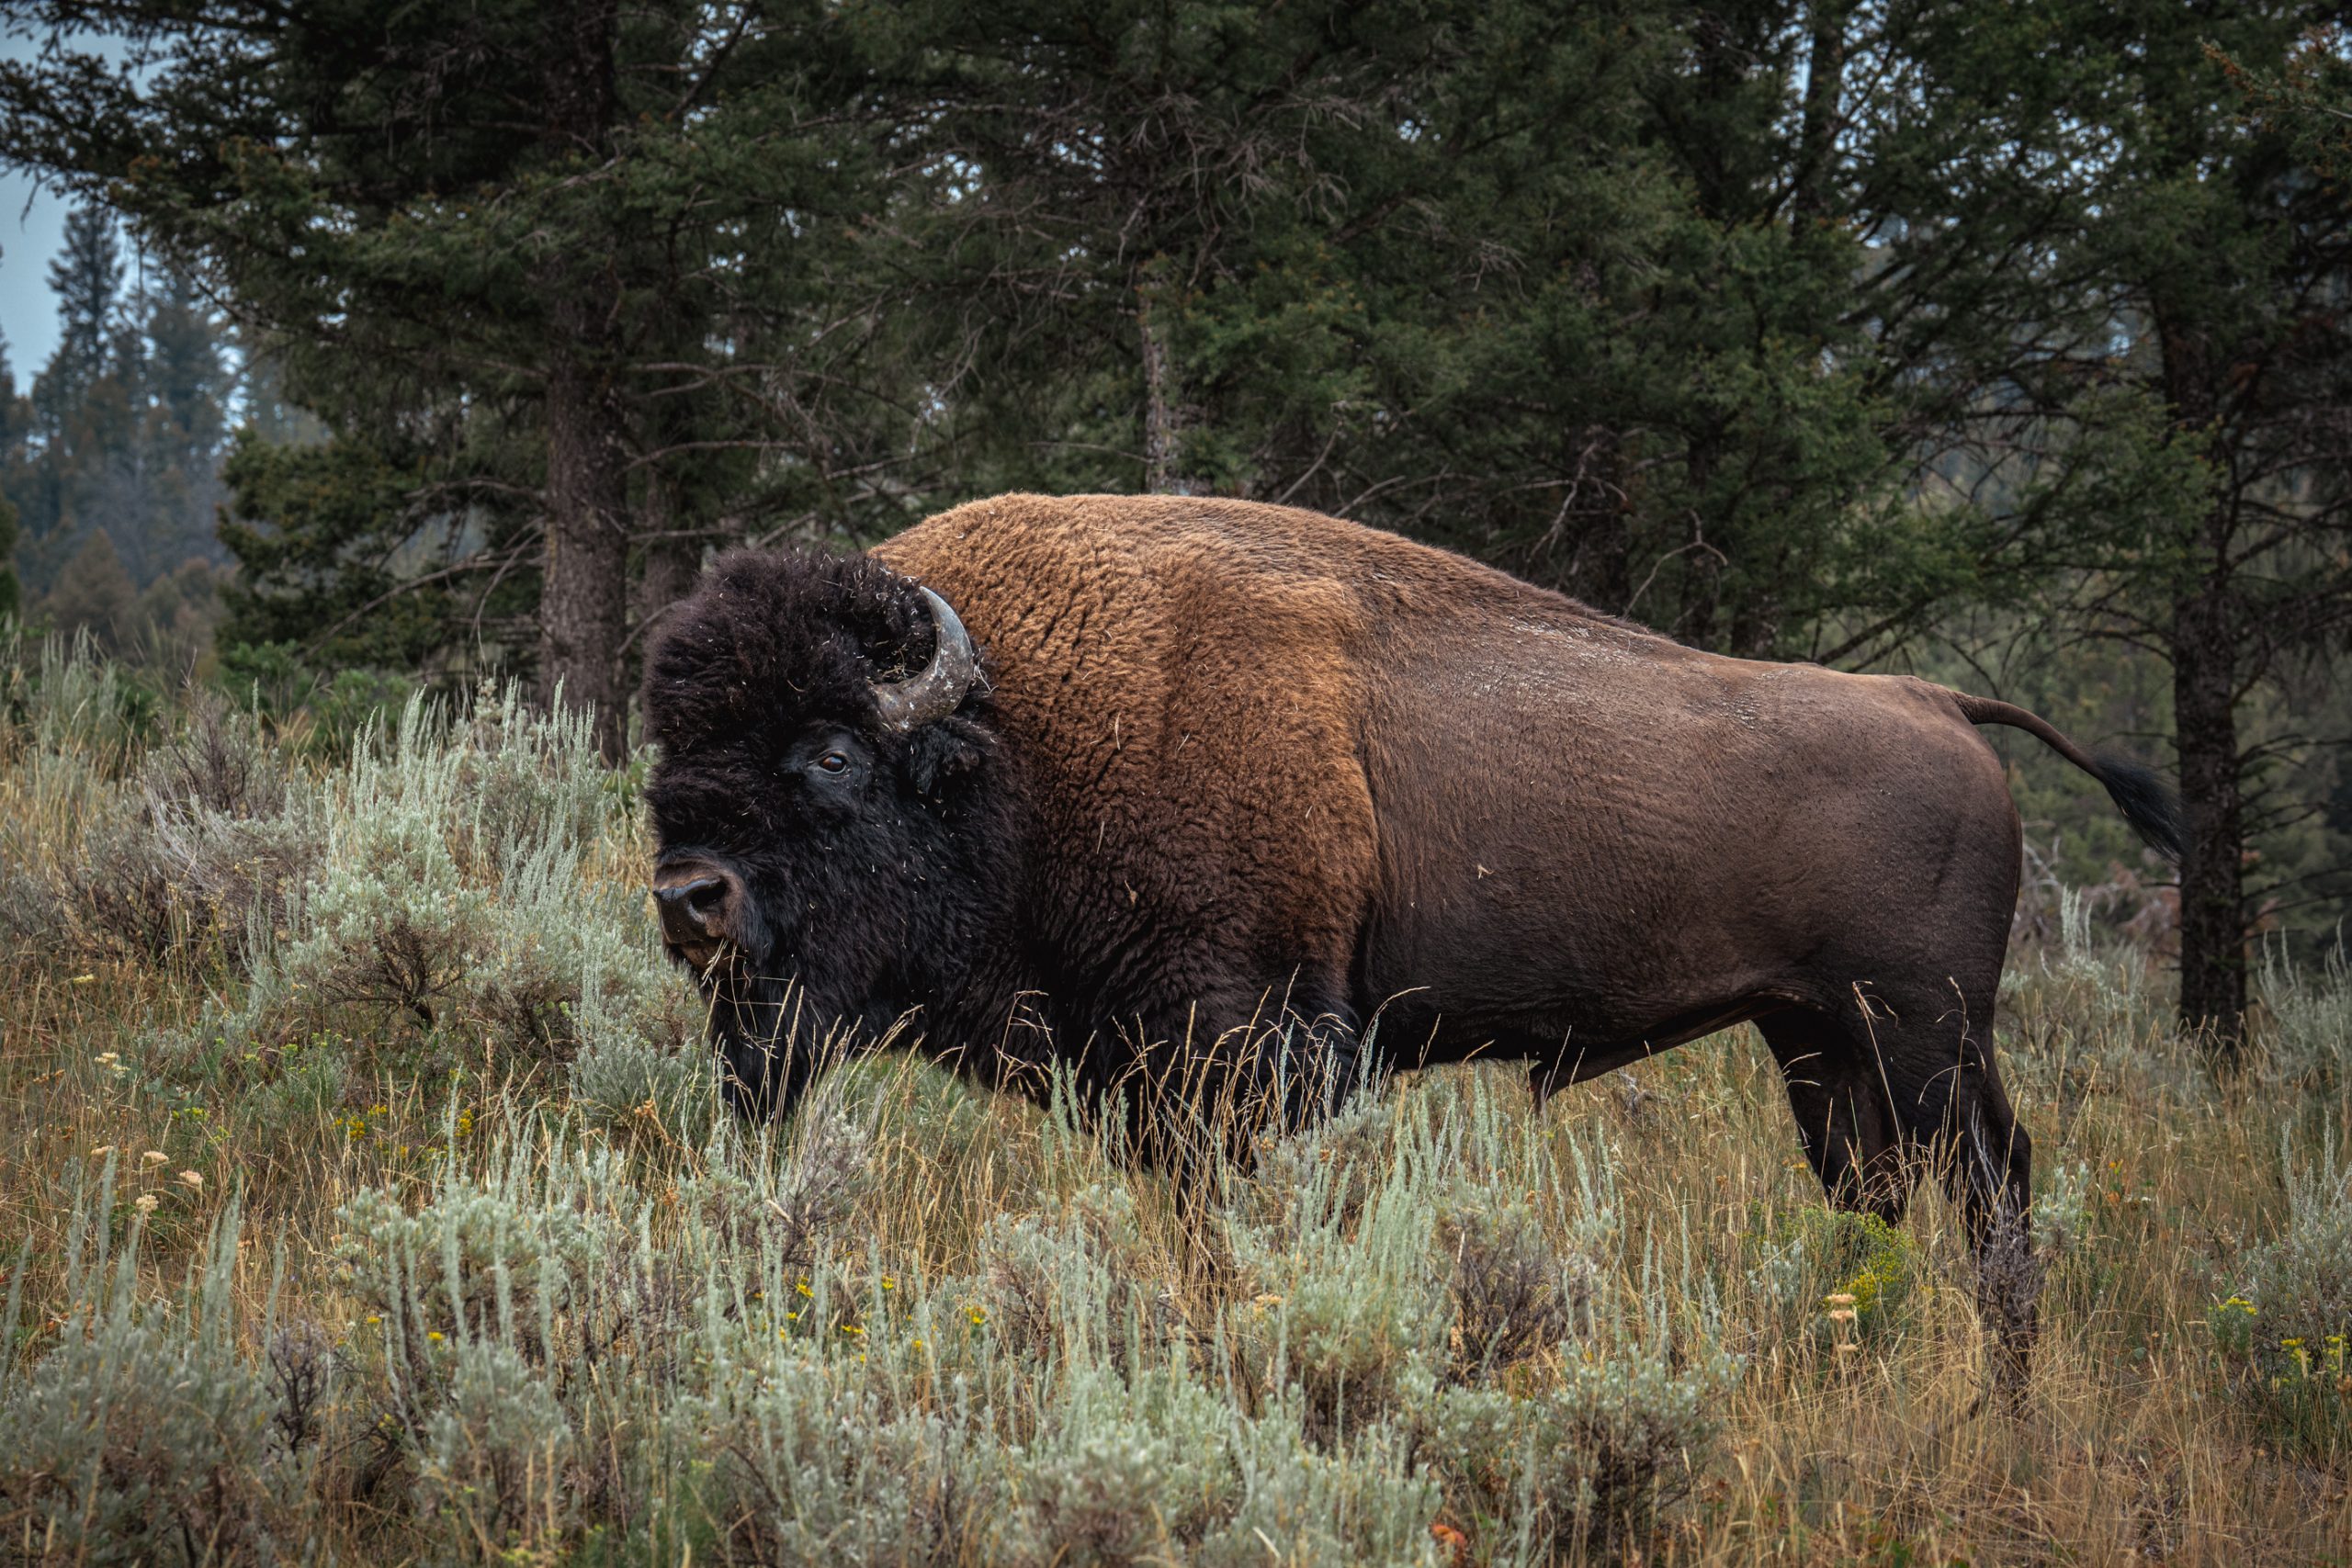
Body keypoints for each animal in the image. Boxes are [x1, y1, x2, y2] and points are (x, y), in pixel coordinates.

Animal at [643, 493, 2180, 1368]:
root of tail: (1937, 699)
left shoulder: (1238, 1048)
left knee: (1993, 1183)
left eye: (832, 750)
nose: (689, 897)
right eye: (670, 745)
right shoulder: (1148, 1083)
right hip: (1818, 1041)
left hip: (1924, 1030)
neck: (1015, 738)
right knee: (1882, 1197)